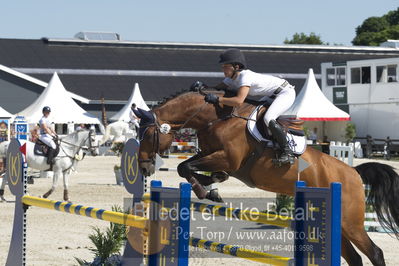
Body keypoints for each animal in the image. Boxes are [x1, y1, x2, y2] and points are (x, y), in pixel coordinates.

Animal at [140, 90, 399, 266]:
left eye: (148, 134)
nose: (143, 167)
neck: (216, 117)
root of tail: (354, 172)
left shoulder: (227, 158)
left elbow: (186, 167)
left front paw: (207, 191)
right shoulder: (212, 156)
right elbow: (188, 167)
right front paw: (212, 188)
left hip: (350, 223)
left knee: (374, 252)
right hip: (338, 226)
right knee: (355, 258)